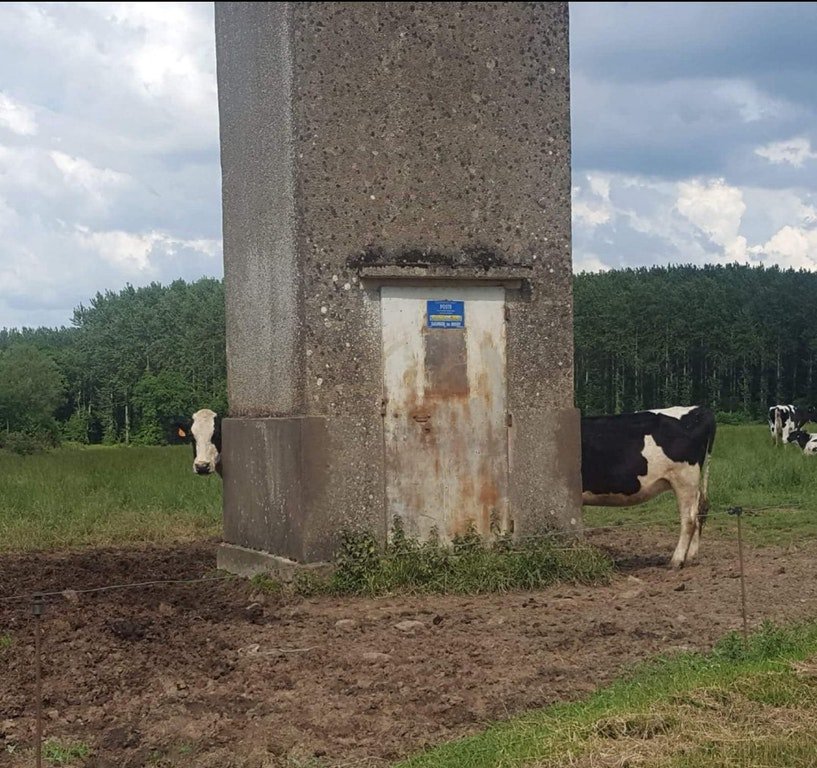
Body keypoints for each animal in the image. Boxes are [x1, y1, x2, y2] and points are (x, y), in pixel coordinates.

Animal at [581, 405, 716, 569]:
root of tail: (698, 409)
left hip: (685, 479)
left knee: (689, 519)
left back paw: (677, 560)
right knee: (700, 510)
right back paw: (690, 556)